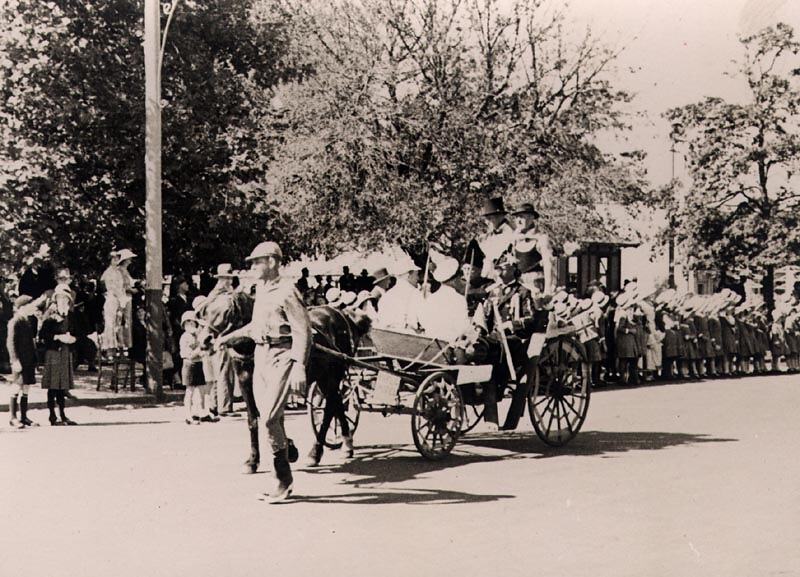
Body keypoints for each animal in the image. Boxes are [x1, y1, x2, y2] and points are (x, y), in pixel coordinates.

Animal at [199, 290, 370, 473]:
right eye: (207, 312)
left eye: (228, 312)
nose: (205, 341)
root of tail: (339, 313)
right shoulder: (246, 383)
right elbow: (255, 420)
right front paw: (253, 460)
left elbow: (272, 416)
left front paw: (289, 449)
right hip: (326, 379)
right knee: (336, 404)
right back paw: (346, 443)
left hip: (330, 377)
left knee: (330, 409)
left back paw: (316, 452)